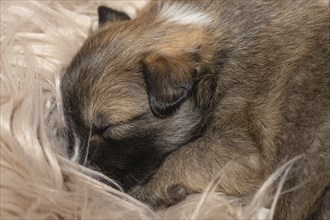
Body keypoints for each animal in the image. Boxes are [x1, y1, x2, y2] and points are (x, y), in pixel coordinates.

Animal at [60, 0, 330, 219]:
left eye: (108, 128)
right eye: (69, 125)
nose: (78, 177)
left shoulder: (241, 150)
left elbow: (182, 156)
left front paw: (142, 195)